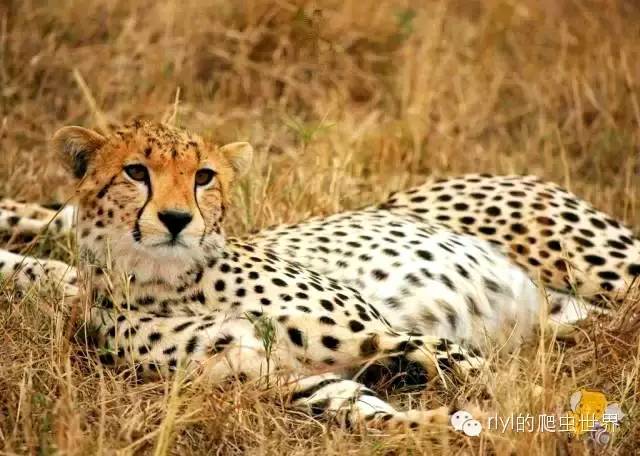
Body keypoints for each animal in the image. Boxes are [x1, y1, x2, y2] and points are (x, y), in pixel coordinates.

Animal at [1, 120, 636, 432]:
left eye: (204, 176)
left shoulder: (387, 329)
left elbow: (487, 373)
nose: (178, 219)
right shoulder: (287, 379)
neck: (167, 282)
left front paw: (542, 412)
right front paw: (448, 426)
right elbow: (370, 415)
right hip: (574, 313)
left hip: (606, 265)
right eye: (136, 172)